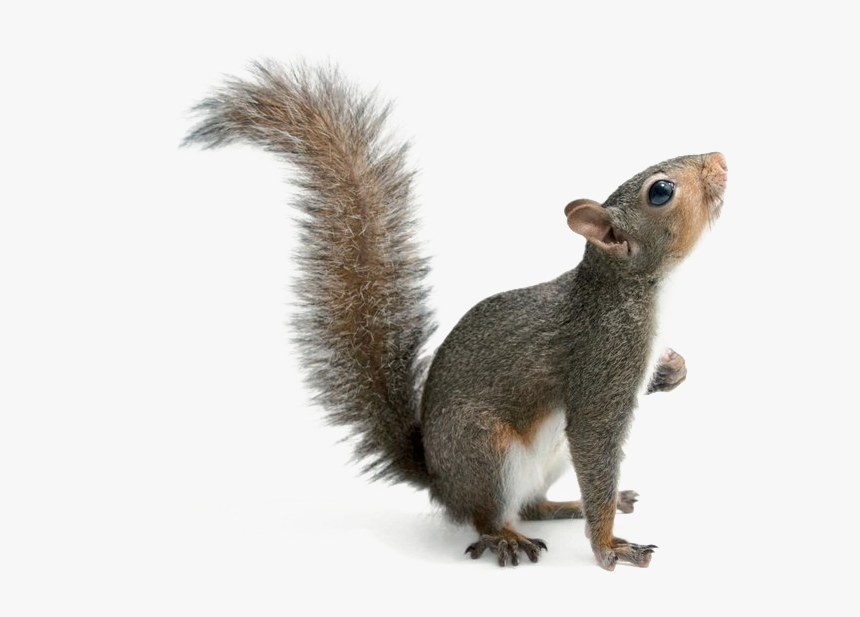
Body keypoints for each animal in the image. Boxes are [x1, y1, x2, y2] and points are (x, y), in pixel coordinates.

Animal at [184, 61, 727, 569]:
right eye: (661, 192)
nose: (721, 159)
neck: (632, 289)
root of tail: (440, 480)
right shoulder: (603, 359)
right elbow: (595, 439)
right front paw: (609, 545)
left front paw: (674, 369)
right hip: (486, 450)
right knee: (489, 514)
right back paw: (506, 536)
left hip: (546, 459)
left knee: (531, 505)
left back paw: (567, 505)